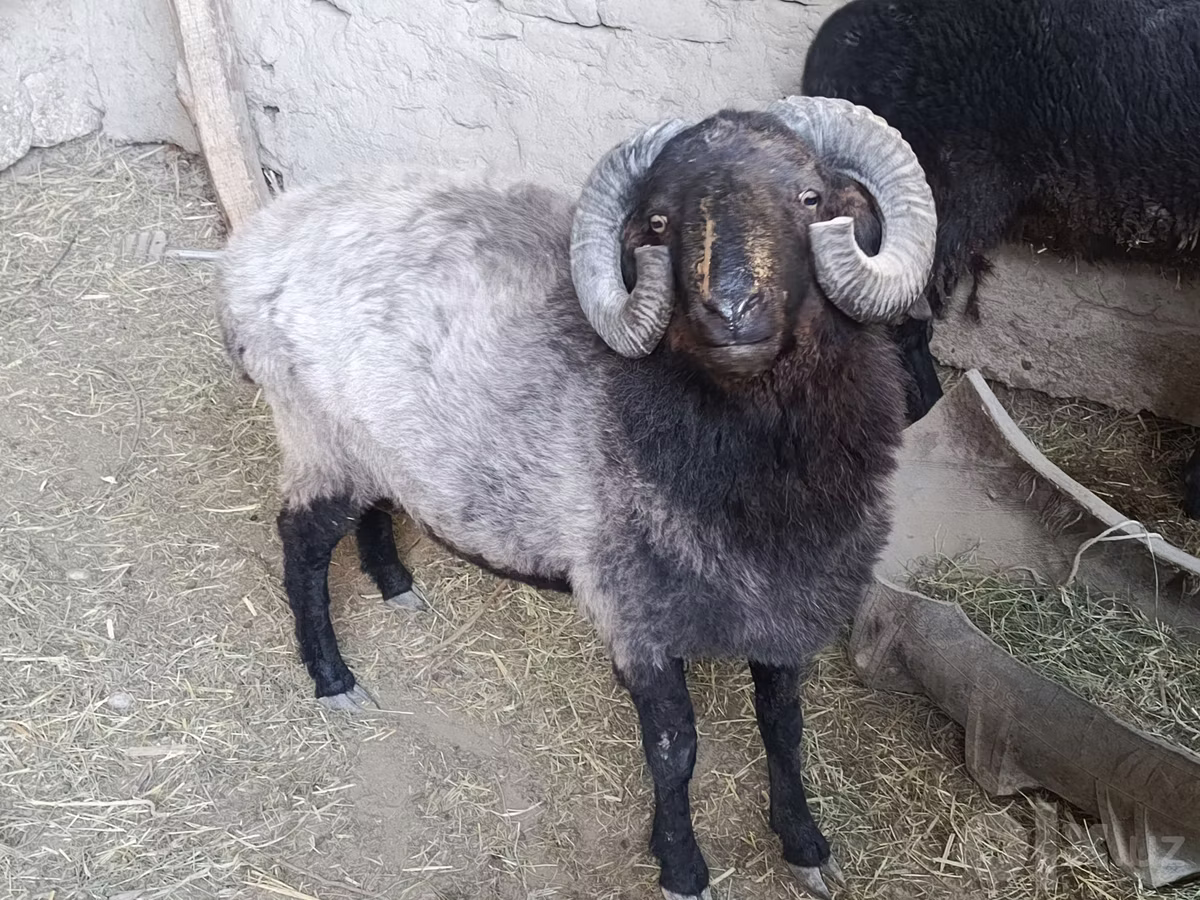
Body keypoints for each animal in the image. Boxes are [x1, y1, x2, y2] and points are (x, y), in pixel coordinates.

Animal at [215, 95, 937, 900]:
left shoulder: (788, 603)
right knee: (302, 546)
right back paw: (333, 678)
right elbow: (674, 748)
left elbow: (784, 727)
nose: (731, 311)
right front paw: (681, 868)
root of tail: (255, 242)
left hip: (376, 445)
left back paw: (396, 585)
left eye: (811, 198)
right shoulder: (634, 612)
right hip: (319, 437)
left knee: (374, 508)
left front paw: (806, 844)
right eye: (659, 223)